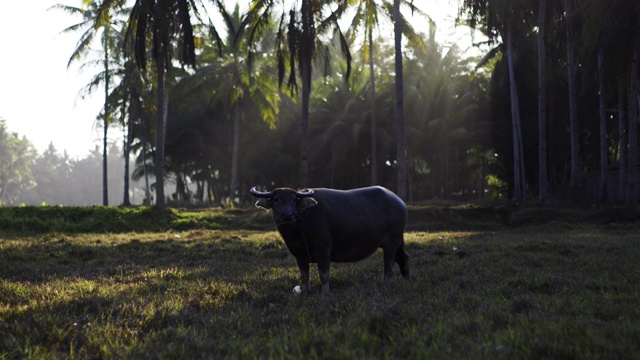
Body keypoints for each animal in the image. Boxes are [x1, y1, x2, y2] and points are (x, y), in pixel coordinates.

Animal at [250, 186, 410, 292]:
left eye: (294, 200)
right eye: (276, 199)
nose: (287, 215)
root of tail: (400, 202)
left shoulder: (323, 249)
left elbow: (323, 274)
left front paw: (325, 293)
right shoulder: (300, 256)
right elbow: (304, 276)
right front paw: (305, 291)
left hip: (391, 242)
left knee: (389, 263)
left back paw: (385, 285)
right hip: (397, 241)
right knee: (403, 257)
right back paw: (407, 281)